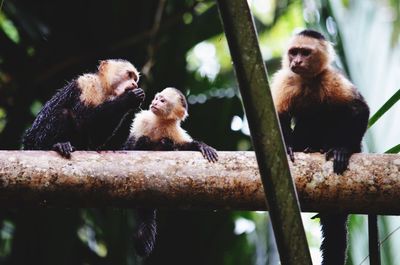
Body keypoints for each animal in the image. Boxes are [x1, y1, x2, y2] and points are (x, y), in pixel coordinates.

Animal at [125, 86, 219, 256]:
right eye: (157, 98)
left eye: (162, 101)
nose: (155, 102)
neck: (160, 121)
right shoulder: (142, 121)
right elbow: (128, 147)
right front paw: (142, 142)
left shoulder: (175, 131)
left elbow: (184, 146)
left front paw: (202, 146)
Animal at [270, 29, 370, 264]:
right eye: (294, 52)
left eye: (305, 53)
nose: (296, 61)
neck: (308, 81)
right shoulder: (285, 79)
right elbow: (278, 117)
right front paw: (288, 148)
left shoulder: (333, 78)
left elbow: (360, 109)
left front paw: (344, 150)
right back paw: (306, 147)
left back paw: (330, 147)